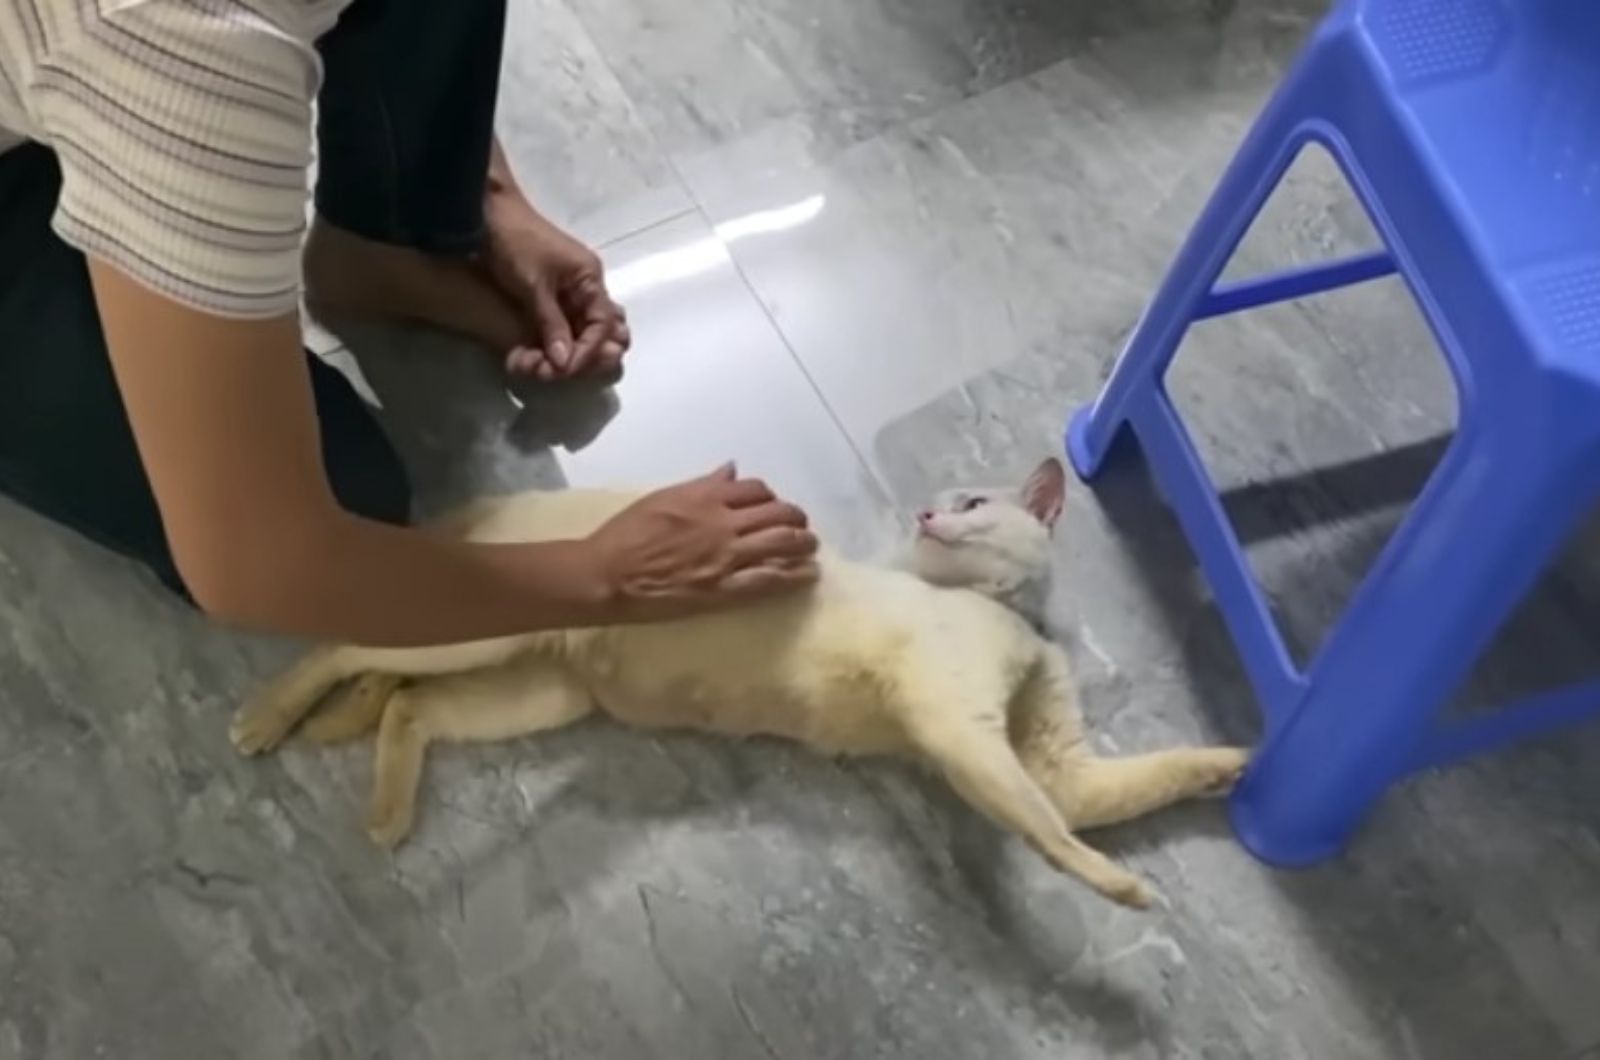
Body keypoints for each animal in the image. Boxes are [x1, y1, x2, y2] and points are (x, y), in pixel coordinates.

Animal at [232, 457, 1241, 915]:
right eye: (945, 503)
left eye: (972, 505)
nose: (925, 514)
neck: (1007, 614)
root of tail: (507, 505)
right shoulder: (957, 727)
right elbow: (1047, 827)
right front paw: (1115, 884)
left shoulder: (1059, 761)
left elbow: (1119, 786)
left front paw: (1234, 760)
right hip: (487, 631)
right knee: (347, 643)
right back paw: (267, 716)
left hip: (539, 690)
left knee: (405, 698)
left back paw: (382, 802)